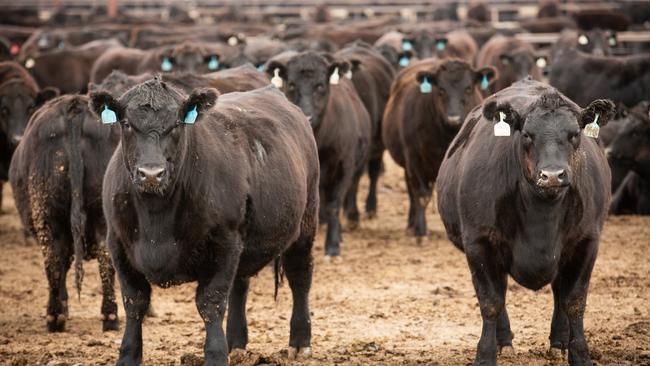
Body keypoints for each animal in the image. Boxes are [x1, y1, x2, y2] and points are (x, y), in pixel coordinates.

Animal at [9, 94, 120, 332]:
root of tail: (74, 108)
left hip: (47, 214)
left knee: (54, 257)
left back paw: (56, 315)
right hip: (101, 215)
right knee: (104, 257)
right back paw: (109, 316)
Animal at [88, 81, 316, 366]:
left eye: (177, 123)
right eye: (127, 123)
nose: (151, 174)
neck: (156, 221)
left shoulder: (224, 241)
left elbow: (211, 303)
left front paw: (216, 355)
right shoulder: (118, 244)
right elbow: (135, 302)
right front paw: (128, 355)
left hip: (305, 223)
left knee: (300, 277)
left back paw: (300, 342)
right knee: (240, 285)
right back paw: (236, 343)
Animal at [266, 51, 370, 258]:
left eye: (320, 85)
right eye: (291, 84)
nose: (307, 116)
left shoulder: (345, 166)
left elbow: (335, 205)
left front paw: (333, 245)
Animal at [382, 58, 494, 242]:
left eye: (468, 88)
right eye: (441, 89)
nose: (454, 118)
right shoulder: (414, 160)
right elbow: (421, 196)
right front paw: (421, 231)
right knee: (412, 193)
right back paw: (411, 225)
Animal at [436, 77, 612, 366]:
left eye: (575, 134)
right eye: (527, 134)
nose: (552, 175)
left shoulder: (587, 241)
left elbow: (574, 300)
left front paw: (580, 355)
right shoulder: (478, 242)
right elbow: (491, 301)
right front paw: (485, 355)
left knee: (559, 292)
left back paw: (558, 343)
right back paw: (504, 342)